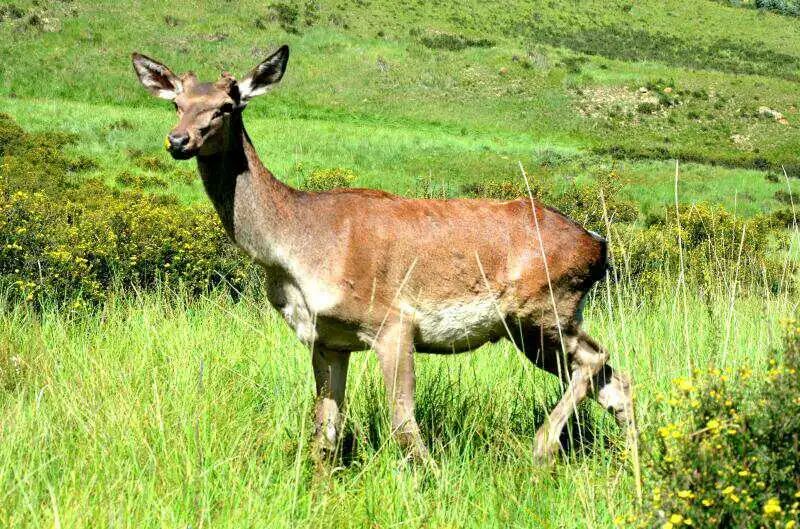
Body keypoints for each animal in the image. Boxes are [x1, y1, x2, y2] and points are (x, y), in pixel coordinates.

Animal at [130, 46, 632, 466]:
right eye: (176, 102)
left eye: (227, 106)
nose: (178, 140)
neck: (295, 251)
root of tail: (598, 244)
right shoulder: (326, 339)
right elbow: (325, 432)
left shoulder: (394, 322)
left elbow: (403, 425)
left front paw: (432, 482)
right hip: (536, 327)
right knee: (615, 381)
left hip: (542, 309)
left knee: (596, 360)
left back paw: (542, 447)